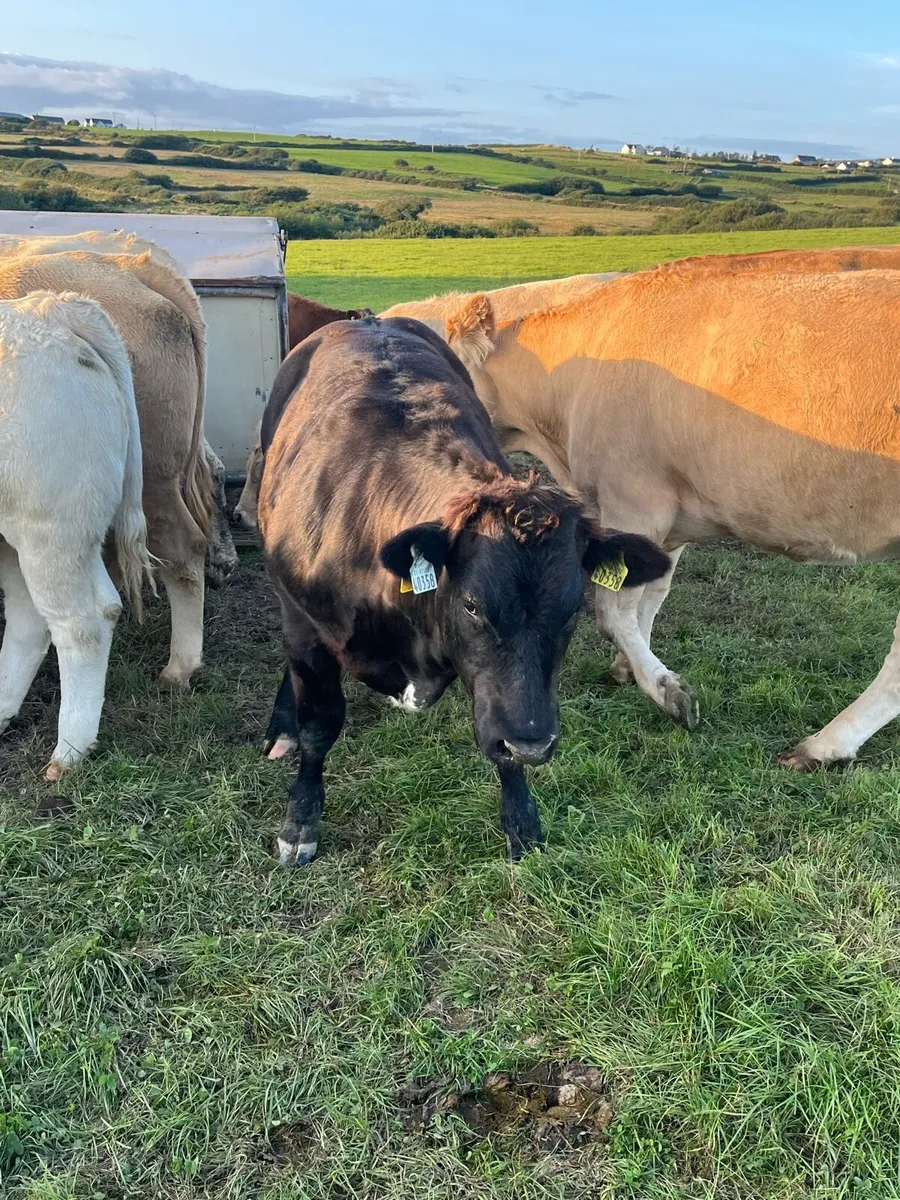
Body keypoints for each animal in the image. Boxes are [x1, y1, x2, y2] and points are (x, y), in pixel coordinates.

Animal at [257, 315, 669, 865]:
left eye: (573, 608)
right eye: (472, 605)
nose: (534, 747)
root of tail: (368, 318)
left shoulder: (507, 703)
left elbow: (501, 725)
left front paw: (522, 820)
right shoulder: (305, 623)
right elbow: (318, 726)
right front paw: (300, 822)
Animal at [435, 247, 900, 769]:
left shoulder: (634, 499)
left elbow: (612, 611)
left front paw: (665, 689)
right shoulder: (670, 514)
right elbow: (649, 596)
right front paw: (627, 667)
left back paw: (823, 744)